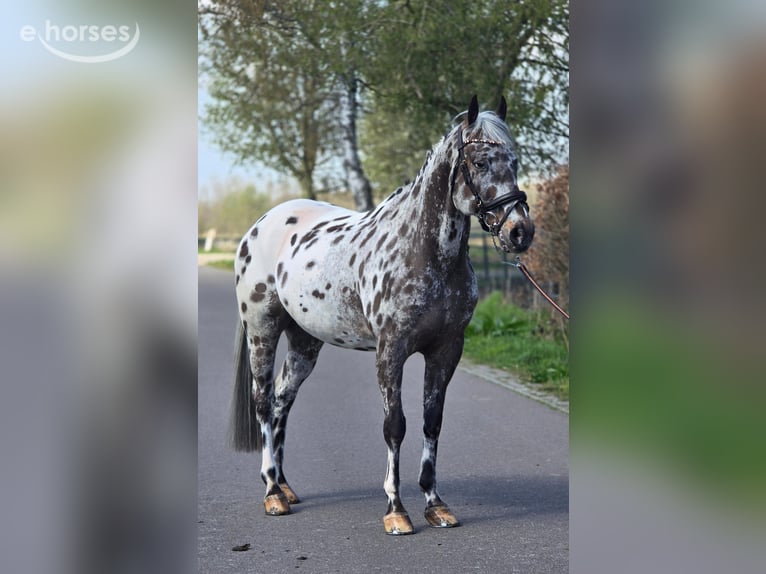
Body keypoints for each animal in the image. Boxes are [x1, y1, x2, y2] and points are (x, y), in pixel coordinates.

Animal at [230, 95, 534, 535]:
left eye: (514, 160)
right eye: (479, 162)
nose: (520, 232)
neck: (424, 252)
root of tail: (261, 224)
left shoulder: (447, 350)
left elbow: (431, 421)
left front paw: (435, 504)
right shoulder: (390, 350)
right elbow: (395, 425)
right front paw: (396, 510)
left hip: (305, 341)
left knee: (283, 398)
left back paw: (285, 486)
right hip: (262, 331)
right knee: (262, 403)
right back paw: (272, 493)